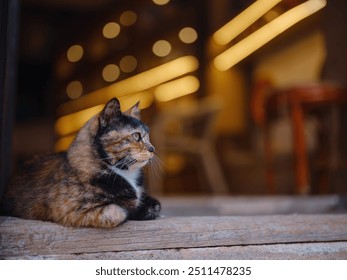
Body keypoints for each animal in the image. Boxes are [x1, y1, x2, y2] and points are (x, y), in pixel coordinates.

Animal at [0, 98, 162, 228]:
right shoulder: (68, 210)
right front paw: (132, 210)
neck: (125, 173)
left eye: (147, 136)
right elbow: (119, 211)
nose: (153, 148)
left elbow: (156, 205)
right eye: (136, 136)